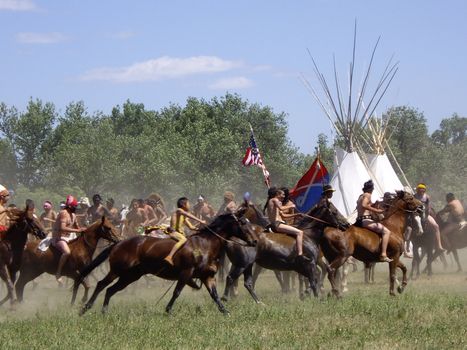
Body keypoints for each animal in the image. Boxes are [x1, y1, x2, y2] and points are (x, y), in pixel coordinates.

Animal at [78, 213, 258, 314]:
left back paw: (104, 311)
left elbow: (215, 295)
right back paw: (85, 308)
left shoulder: (207, 277)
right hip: (117, 271)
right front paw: (168, 310)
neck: (205, 245)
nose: (255, 241)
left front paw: (225, 312)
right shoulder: (186, 273)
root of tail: (118, 243)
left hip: (131, 276)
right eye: (243, 223)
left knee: (110, 290)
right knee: (101, 284)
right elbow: (176, 292)